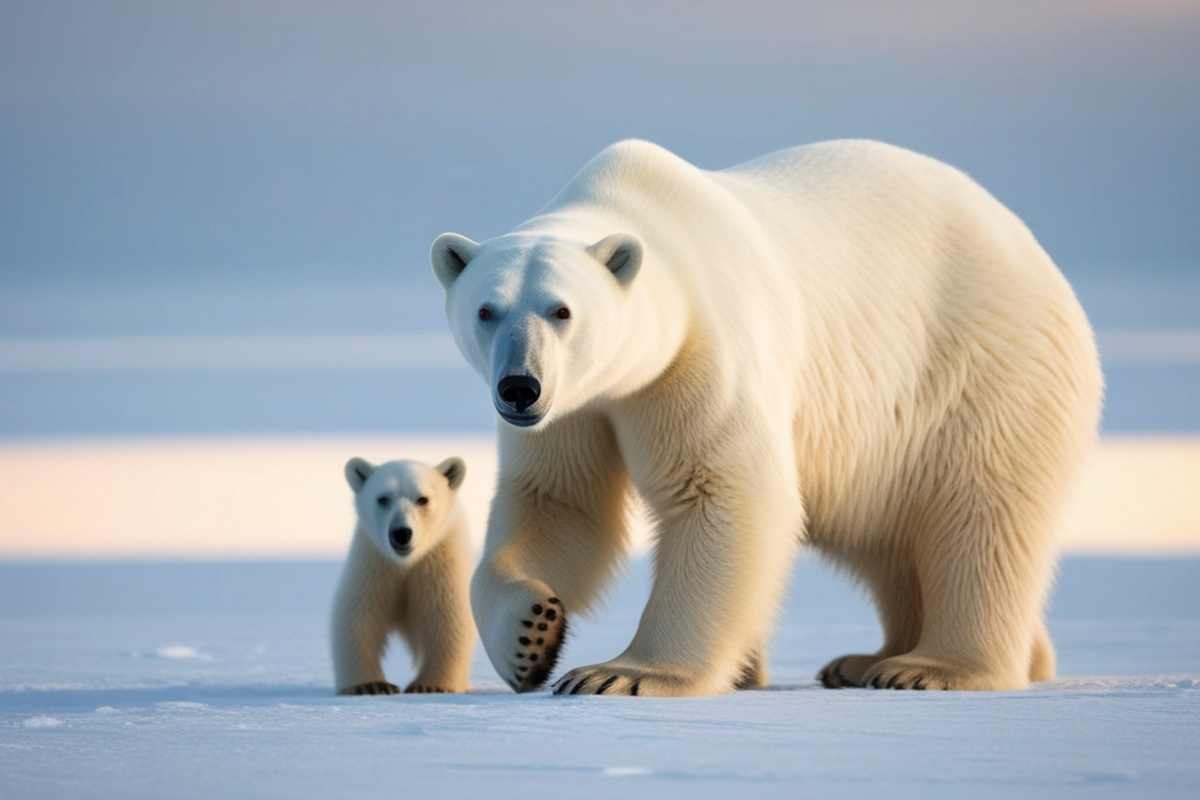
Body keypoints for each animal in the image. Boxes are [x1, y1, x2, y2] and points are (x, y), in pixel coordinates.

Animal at [330, 456, 474, 695]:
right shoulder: (375, 563)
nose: (401, 533)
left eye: (422, 499)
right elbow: (359, 615)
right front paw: (371, 685)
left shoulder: (439, 564)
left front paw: (430, 685)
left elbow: (447, 616)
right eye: (382, 498)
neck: (406, 563)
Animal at [429, 139, 1102, 696]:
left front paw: (620, 674)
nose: (520, 387)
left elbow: (725, 489)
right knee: (889, 537)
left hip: (983, 372)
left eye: (562, 310)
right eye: (486, 309)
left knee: (979, 515)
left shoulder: (703, 352)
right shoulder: (580, 406)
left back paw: (930, 667)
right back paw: (870, 660)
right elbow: (559, 503)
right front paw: (531, 637)